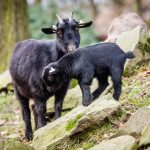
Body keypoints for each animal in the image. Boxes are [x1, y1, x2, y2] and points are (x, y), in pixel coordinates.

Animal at [9, 12, 92, 141]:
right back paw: (29, 135)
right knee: (26, 110)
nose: (72, 49)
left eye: (77, 29)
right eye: (58, 32)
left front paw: (55, 123)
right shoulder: (37, 90)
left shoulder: (63, 88)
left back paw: (36, 129)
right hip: (18, 89)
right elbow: (42, 110)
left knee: (33, 107)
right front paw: (43, 130)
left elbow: (58, 105)